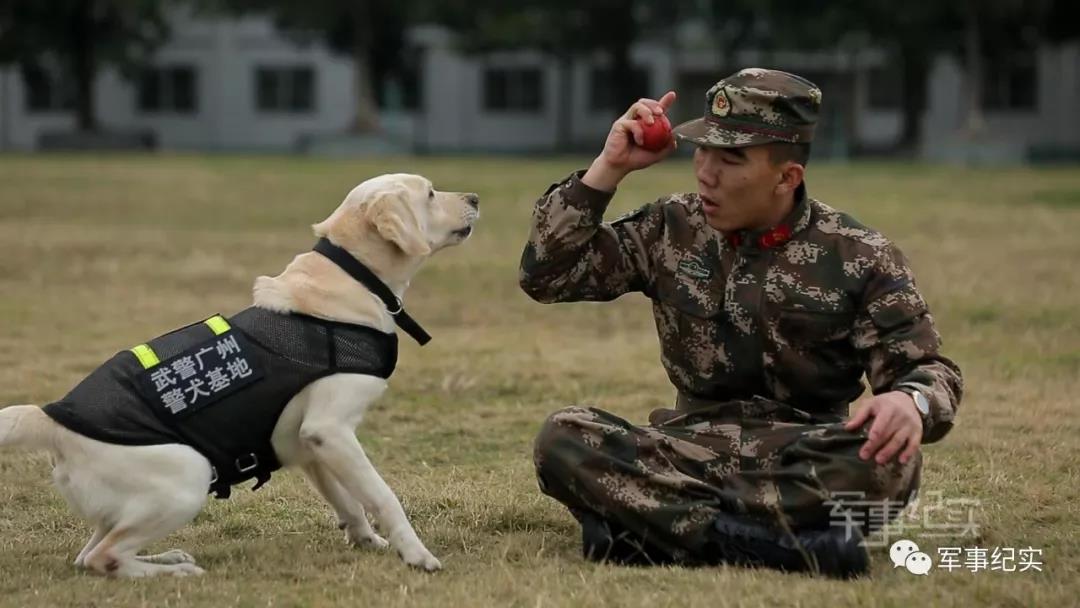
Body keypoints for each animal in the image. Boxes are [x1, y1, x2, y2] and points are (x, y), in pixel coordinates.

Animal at [0, 173, 481, 578]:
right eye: (431, 194)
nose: (475, 198)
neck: (353, 278)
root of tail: (51, 422)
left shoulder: (308, 445)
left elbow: (348, 501)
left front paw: (366, 539)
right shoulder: (330, 430)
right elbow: (382, 495)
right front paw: (416, 554)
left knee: (90, 556)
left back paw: (164, 558)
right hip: (188, 475)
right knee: (104, 557)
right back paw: (175, 571)